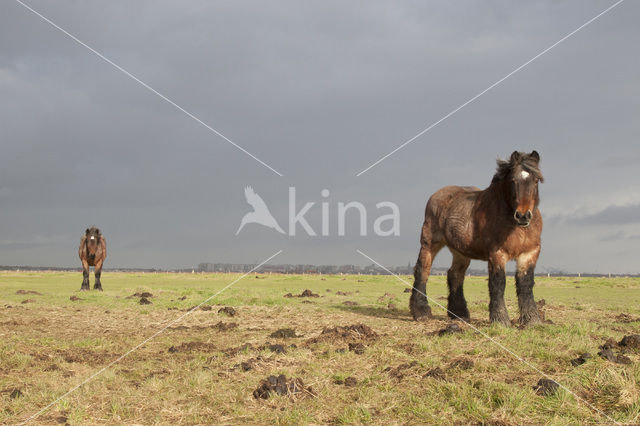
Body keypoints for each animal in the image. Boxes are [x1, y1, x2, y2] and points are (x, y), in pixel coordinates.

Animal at [410, 151, 544, 326]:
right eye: (513, 181)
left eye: (536, 180)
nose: (522, 216)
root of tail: (436, 196)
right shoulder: (497, 253)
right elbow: (498, 283)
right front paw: (500, 320)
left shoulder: (530, 253)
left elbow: (526, 284)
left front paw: (532, 320)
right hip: (430, 243)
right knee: (423, 270)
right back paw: (421, 311)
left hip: (460, 252)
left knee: (455, 275)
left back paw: (459, 313)